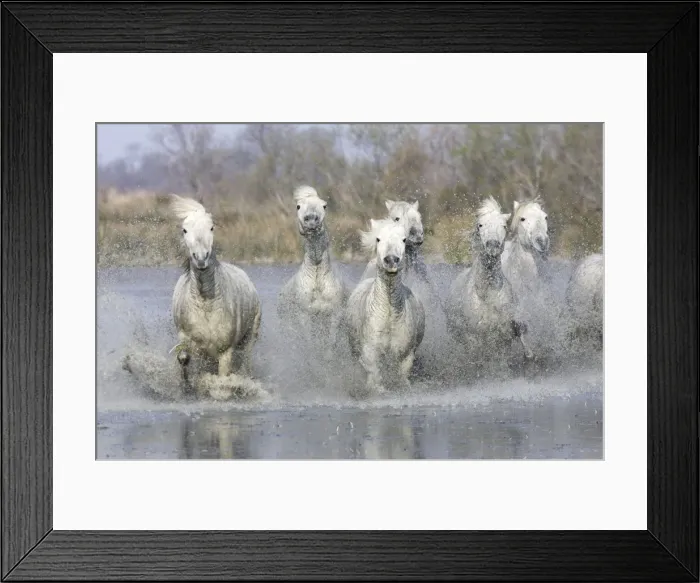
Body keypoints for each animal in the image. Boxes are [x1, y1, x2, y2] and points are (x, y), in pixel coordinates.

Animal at [170, 195, 262, 398]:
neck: (206, 303)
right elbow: (184, 358)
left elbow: (223, 380)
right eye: (184, 230)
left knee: (246, 363)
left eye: (211, 227)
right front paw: (187, 387)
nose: (201, 258)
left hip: (250, 338)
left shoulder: (225, 352)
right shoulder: (188, 341)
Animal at [277, 185, 349, 358]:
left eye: (324, 205)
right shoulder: (305, 316)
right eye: (298, 206)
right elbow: (310, 345)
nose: (311, 221)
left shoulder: (335, 315)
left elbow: (331, 345)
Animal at [344, 219, 426, 398]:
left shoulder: (406, 353)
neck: (388, 315)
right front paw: (377, 390)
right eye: (378, 239)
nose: (391, 260)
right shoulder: (369, 350)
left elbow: (402, 375)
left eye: (403, 239)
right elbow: (374, 373)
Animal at [444, 196, 534, 377]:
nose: (492, 245)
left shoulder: (503, 335)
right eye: (480, 225)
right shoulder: (474, 338)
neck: (486, 294)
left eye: (504, 226)